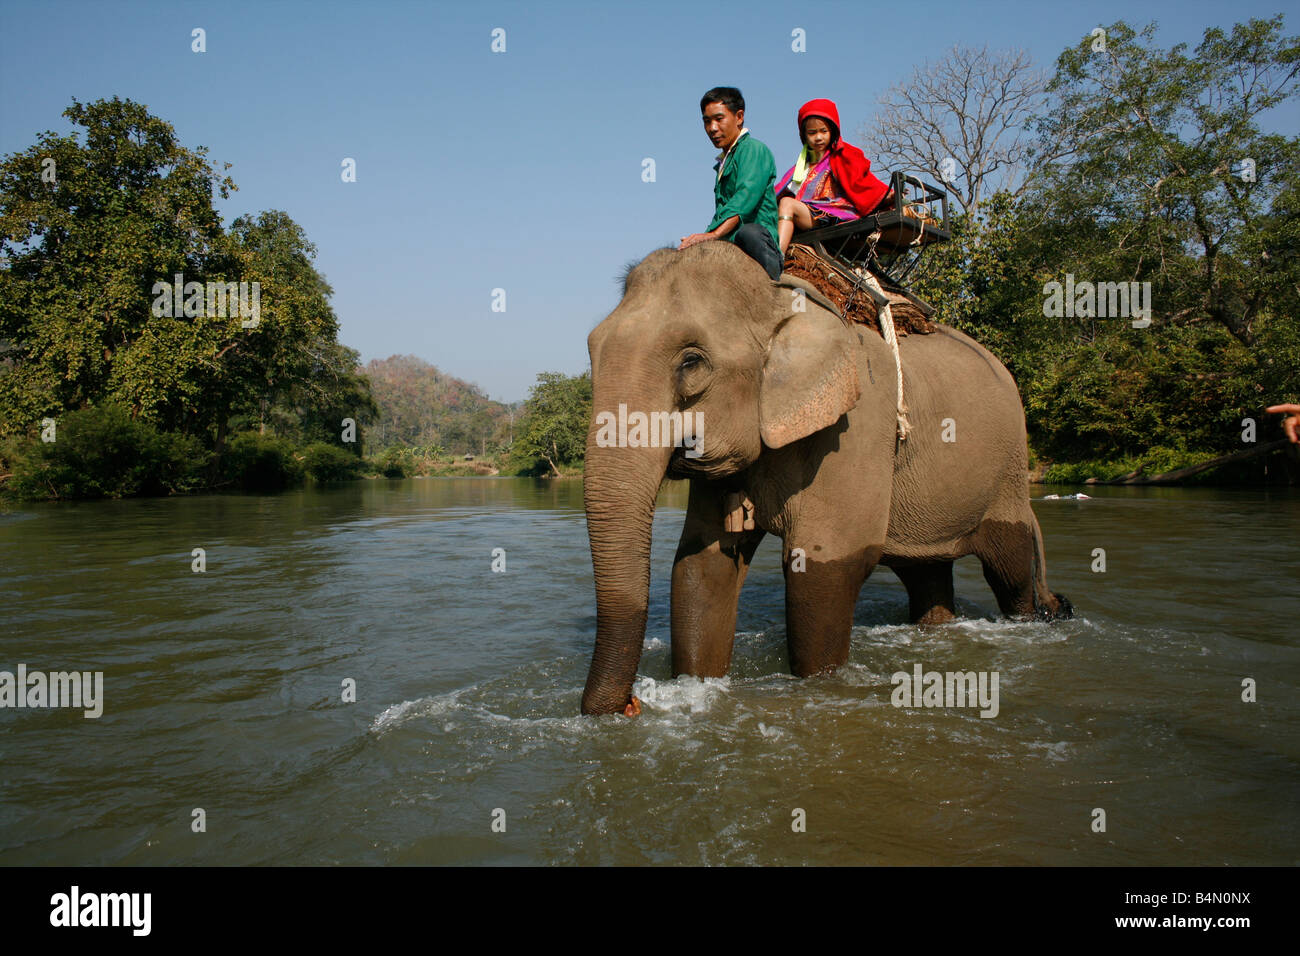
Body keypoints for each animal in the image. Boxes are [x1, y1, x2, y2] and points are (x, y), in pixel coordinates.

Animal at [585, 240, 1071, 717]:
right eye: (591, 349)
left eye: (691, 362)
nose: (630, 705)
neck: (781, 295)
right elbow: (702, 564)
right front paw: (697, 687)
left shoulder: (858, 420)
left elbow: (824, 565)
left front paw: (819, 687)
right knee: (926, 573)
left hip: (1007, 470)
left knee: (1008, 567)